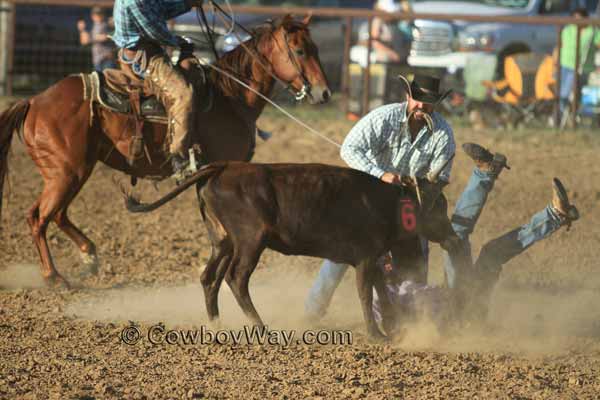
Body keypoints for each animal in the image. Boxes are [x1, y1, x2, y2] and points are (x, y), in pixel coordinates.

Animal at [0, 14, 330, 286]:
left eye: (316, 48)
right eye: (301, 51)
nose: (324, 92)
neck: (230, 95)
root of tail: (34, 101)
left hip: (74, 171)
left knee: (56, 214)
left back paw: (89, 257)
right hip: (67, 172)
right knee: (38, 217)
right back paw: (54, 276)